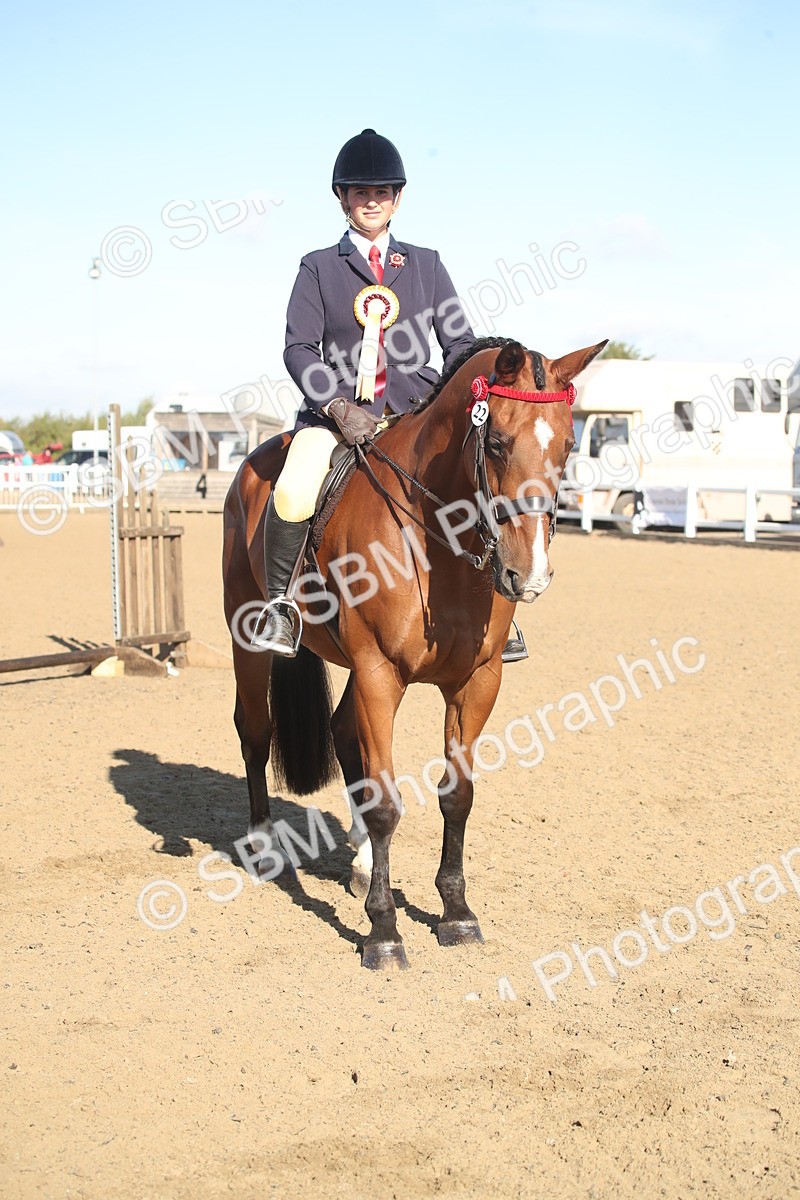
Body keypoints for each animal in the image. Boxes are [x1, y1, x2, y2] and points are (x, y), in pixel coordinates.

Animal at [222, 335, 607, 969]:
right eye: (496, 443)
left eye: (570, 446)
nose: (528, 575)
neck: (439, 543)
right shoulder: (381, 674)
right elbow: (386, 803)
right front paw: (383, 931)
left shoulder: (476, 682)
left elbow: (458, 795)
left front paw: (456, 912)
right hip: (249, 641)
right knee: (256, 730)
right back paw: (263, 848)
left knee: (343, 733)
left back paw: (357, 863)